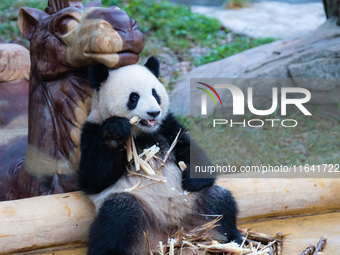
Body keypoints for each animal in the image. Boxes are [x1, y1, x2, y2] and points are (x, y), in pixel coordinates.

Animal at [77, 57, 242, 255]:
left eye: (155, 93)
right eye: (134, 97)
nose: (154, 113)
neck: (141, 133)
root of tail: (173, 235)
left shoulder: (167, 125)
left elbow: (189, 149)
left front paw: (192, 178)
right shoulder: (91, 130)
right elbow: (92, 178)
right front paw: (116, 131)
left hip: (196, 205)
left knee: (220, 201)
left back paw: (233, 240)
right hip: (141, 218)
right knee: (118, 216)